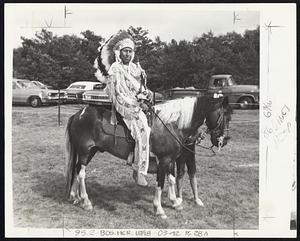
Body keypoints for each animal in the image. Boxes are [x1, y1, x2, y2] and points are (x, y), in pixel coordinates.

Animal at [64, 95, 231, 218]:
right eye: (225, 116)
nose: (224, 140)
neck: (171, 125)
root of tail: (77, 115)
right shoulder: (163, 161)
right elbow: (160, 183)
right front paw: (159, 209)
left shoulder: (170, 160)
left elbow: (171, 180)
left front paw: (175, 202)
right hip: (85, 152)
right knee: (81, 174)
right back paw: (86, 201)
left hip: (89, 152)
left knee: (76, 170)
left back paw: (75, 197)